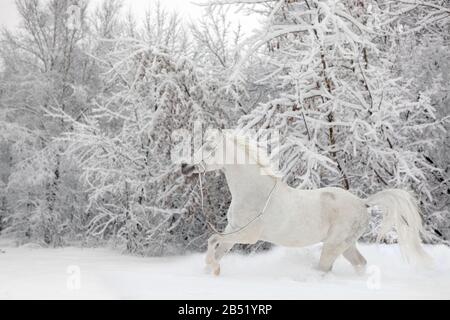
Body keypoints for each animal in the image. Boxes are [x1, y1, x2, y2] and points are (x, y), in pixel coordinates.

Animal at [181, 131, 430, 276]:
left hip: (333, 246)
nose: (185, 166)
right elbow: (219, 247)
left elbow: (213, 240)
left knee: (326, 268)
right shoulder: (233, 230)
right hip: (347, 245)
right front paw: (212, 271)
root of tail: (363, 203)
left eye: (208, 148)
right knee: (360, 263)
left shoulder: (247, 235)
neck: (254, 192)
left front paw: (213, 268)